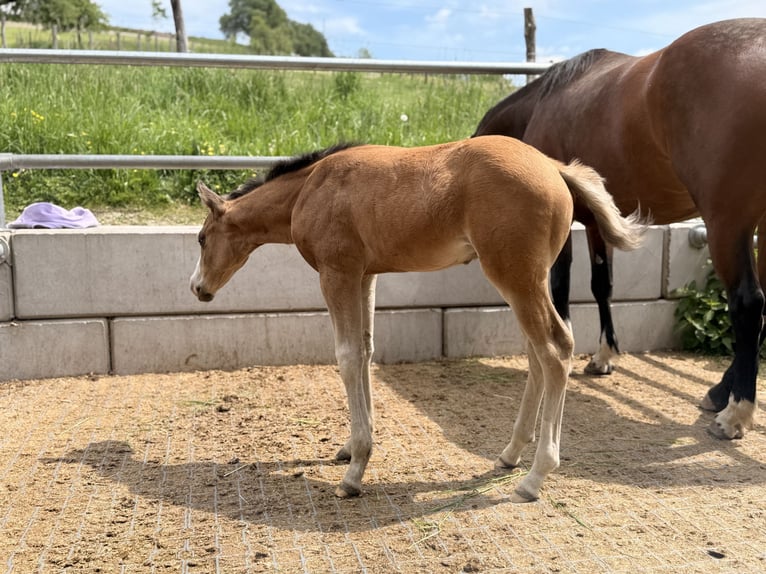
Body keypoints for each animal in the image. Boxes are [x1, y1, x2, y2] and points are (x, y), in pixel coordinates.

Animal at [189, 135, 645, 501]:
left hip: (515, 277)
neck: (311, 187)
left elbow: (347, 356)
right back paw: (510, 454)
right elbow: (366, 350)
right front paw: (349, 448)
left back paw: (535, 477)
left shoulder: (336, 273)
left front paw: (355, 471)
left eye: (201, 238)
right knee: (538, 354)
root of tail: (554, 167)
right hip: (527, 281)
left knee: (556, 348)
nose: (197, 288)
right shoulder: (365, 274)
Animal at [473, 18, 766, 440]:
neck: (543, 102)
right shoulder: (598, 223)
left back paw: (735, 413)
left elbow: (561, 285)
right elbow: (602, 284)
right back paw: (717, 392)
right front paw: (604, 355)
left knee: (747, 303)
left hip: (727, 221)